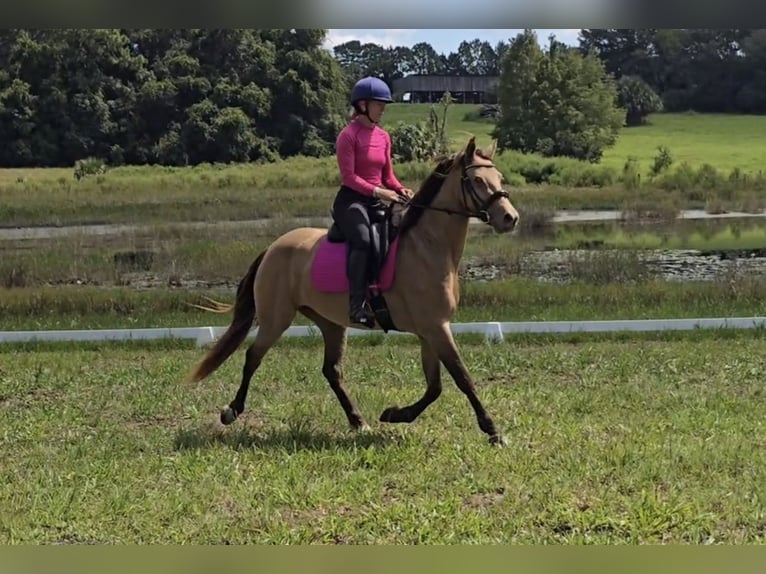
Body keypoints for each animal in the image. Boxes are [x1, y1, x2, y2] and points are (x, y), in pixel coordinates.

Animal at [187, 136, 520, 446]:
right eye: (476, 180)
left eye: (499, 178)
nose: (510, 218)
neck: (428, 246)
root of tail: (273, 247)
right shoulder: (436, 328)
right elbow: (462, 378)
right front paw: (494, 432)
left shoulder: (431, 329)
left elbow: (435, 386)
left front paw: (394, 414)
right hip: (275, 318)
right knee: (252, 357)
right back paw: (231, 411)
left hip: (331, 323)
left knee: (331, 370)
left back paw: (358, 421)